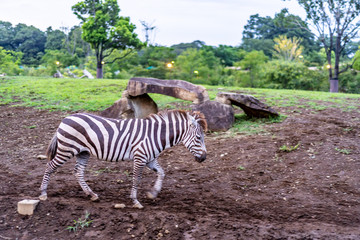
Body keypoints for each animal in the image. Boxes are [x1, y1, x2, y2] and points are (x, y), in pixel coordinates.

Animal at [38, 109, 208, 207]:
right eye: (199, 138)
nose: (204, 158)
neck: (155, 135)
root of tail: (66, 118)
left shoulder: (150, 159)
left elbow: (162, 173)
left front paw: (153, 193)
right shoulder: (140, 157)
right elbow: (136, 179)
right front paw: (135, 201)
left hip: (83, 152)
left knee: (78, 172)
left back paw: (92, 195)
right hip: (67, 149)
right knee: (50, 166)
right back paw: (43, 193)